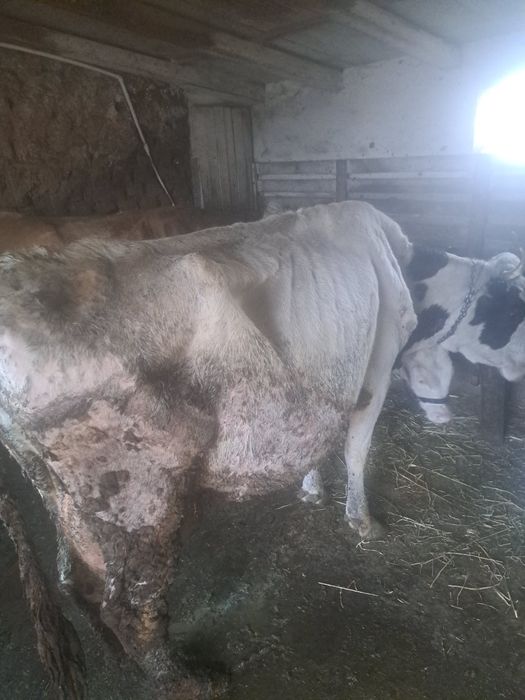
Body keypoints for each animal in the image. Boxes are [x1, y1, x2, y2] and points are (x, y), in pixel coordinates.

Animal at [0, 201, 415, 697]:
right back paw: (190, 681)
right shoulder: (380, 362)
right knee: (129, 607)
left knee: (75, 580)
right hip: (142, 494)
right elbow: (356, 450)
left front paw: (311, 490)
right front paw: (363, 521)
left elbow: (320, 437)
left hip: (60, 490)